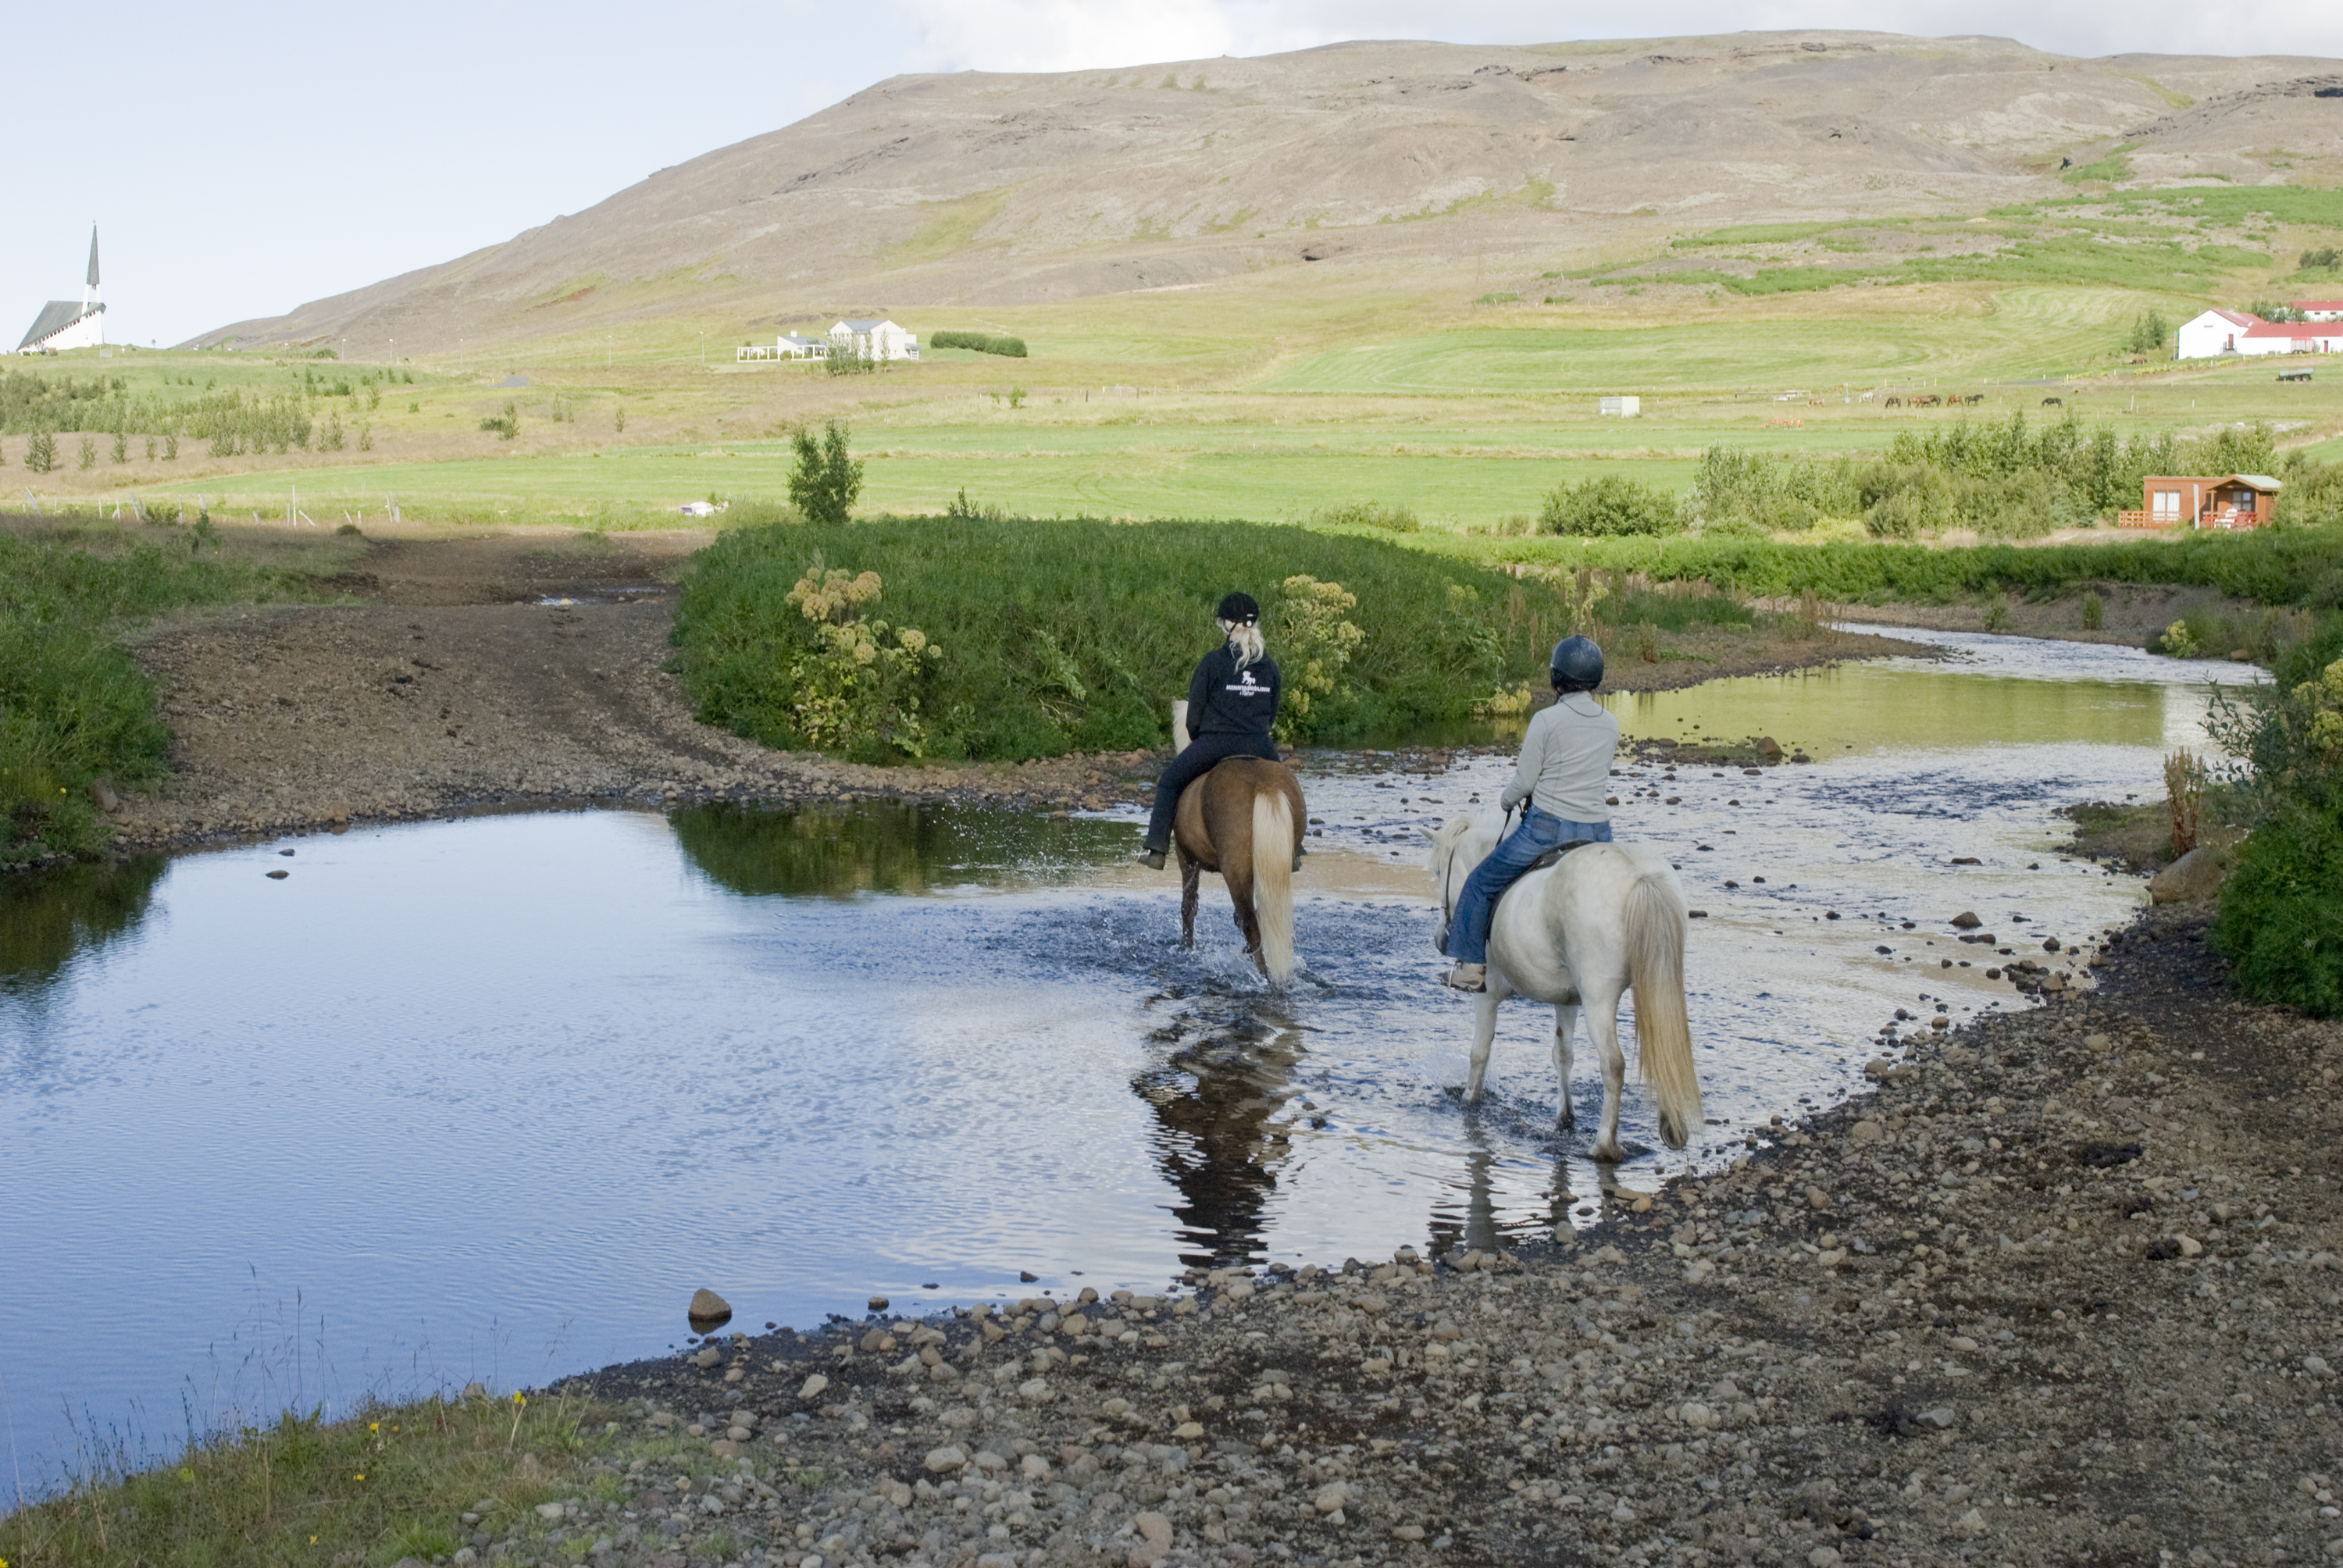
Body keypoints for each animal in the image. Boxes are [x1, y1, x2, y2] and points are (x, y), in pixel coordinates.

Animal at [1174, 758, 1305, 984]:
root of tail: (1263, 784)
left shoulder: (1187, 859)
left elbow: (1189, 907)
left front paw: (1187, 948)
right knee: (1260, 917)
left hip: (1234, 874)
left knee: (1250, 923)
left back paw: (1263, 977)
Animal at [1426, 813, 1702, 1161]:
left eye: (1438, 872)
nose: (1440, 939)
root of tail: (1640, 877)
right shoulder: (1567, 1000)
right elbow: (1563, 1055)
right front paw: (1565, 1119)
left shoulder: (1487, 996)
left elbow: (1480, 1051)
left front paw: (1468, 1100)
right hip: (1659, 981)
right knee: (1665, 1042)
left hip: (1599, 999)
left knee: (1613, 1064)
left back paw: (1604, 1145)